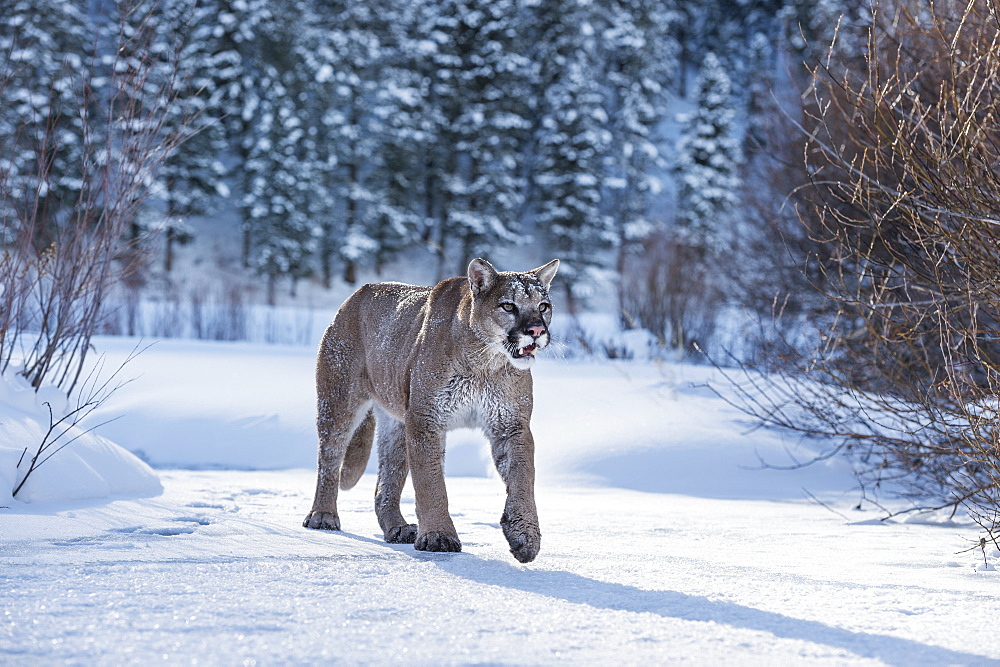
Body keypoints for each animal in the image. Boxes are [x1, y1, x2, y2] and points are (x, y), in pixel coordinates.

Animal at [300, 258, 560, 564]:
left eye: (543, 306)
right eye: (508, 306)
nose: (536, 331)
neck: (484, 362)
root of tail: (358, 293)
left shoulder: (511, 424)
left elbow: (522, 478)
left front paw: (524, 537)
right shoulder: (426, 419)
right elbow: (431, 483)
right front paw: (439, 535)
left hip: (397, 422)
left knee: (386, 480)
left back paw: (397, 528)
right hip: (339, 401)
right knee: (329, 459)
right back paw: (323, 516)